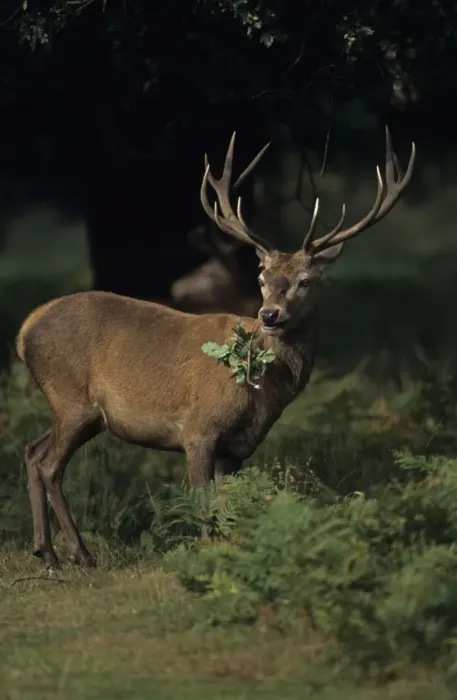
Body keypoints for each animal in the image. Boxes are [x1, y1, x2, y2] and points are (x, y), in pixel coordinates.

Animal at [15, 127, 415, 571]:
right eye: (263, 277)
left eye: (306, 280)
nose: (270, 314)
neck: (259, 391)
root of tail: (25, 330)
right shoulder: (198, 430)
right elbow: (203, 506)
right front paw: (203, 560)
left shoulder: (236, 450)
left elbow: (228, 510)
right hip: (73, 399)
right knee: (49, 464)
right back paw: (79, 555)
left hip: (76, 411)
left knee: (32, 451)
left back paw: (46, 552)